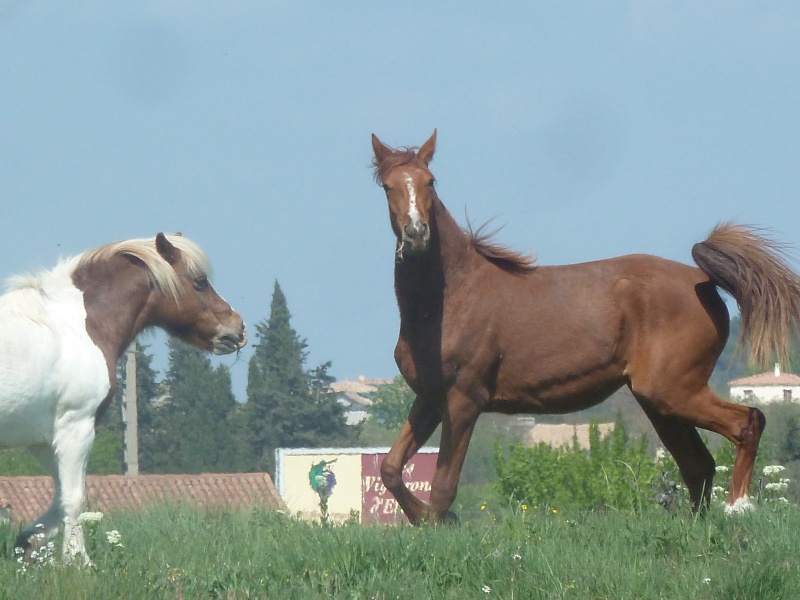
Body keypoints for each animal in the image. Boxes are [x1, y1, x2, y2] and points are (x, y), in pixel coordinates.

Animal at [0, 234, 245, 564]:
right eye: (200, 281)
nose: (238, 328)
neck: (74, 326)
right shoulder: (76, 428)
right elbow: (74, 498)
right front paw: (79, 561)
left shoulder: (42, 441)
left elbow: (60, 497)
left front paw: (29, 542)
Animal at [372, 130, 800, 520]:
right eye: (388, 185)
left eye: (430, 181)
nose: (416, 233)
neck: (451, 297)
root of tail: (703, 280)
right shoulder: (430, 399)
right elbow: (390, 468)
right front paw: (421, 518)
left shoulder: (463, 401)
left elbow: (443, 487)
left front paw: (438, 522)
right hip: (660, 401)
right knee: (699, 465)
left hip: (674, 391)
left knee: (748, 422)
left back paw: (739, 506)